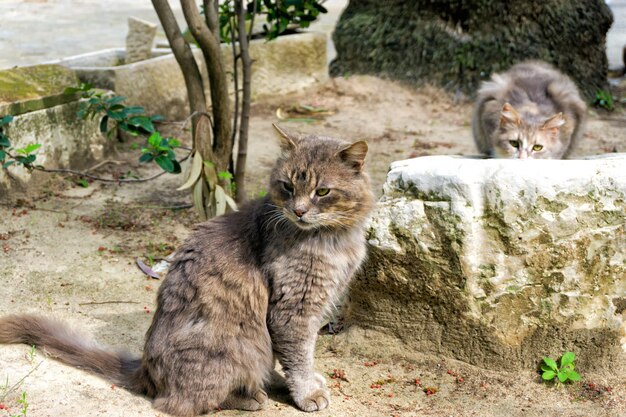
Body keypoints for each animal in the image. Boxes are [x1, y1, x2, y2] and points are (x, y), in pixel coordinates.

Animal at [0, 124, 372, 416]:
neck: (333, 239)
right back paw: (251, 397)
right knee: (183, 402)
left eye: (322, 191)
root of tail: (146, 369)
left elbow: (300, 355)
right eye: (288, 187)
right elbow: (299, 356)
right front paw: (308, 393)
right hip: (235, 347)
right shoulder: (294, 309)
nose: (298, 211)